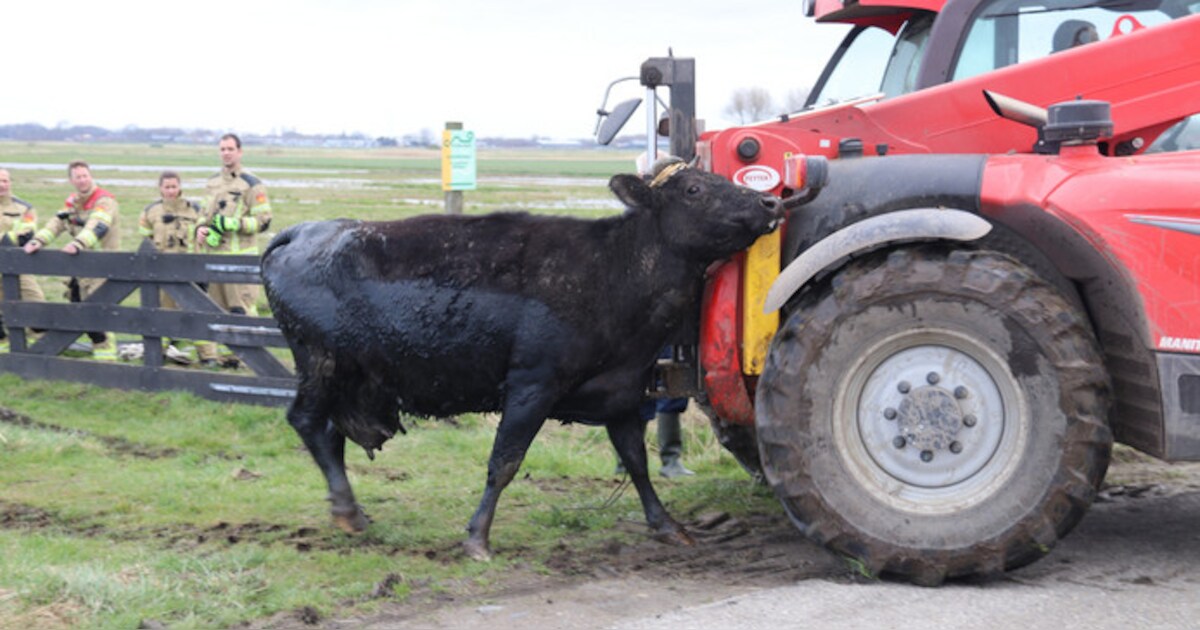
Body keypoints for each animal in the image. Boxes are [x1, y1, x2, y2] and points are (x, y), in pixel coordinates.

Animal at [261, 158, 783, 560]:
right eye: (695, 189)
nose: (770, 202)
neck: (612, 272)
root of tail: (303, 231)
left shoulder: (622, 391)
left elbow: (637, 462)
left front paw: (667, 525)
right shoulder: (532, 386)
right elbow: (504, 462)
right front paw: (477, 538)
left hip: (349, 377)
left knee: (330, 433)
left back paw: (351, 508)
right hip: (321, 364)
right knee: (307, 422)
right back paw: (348, 511)